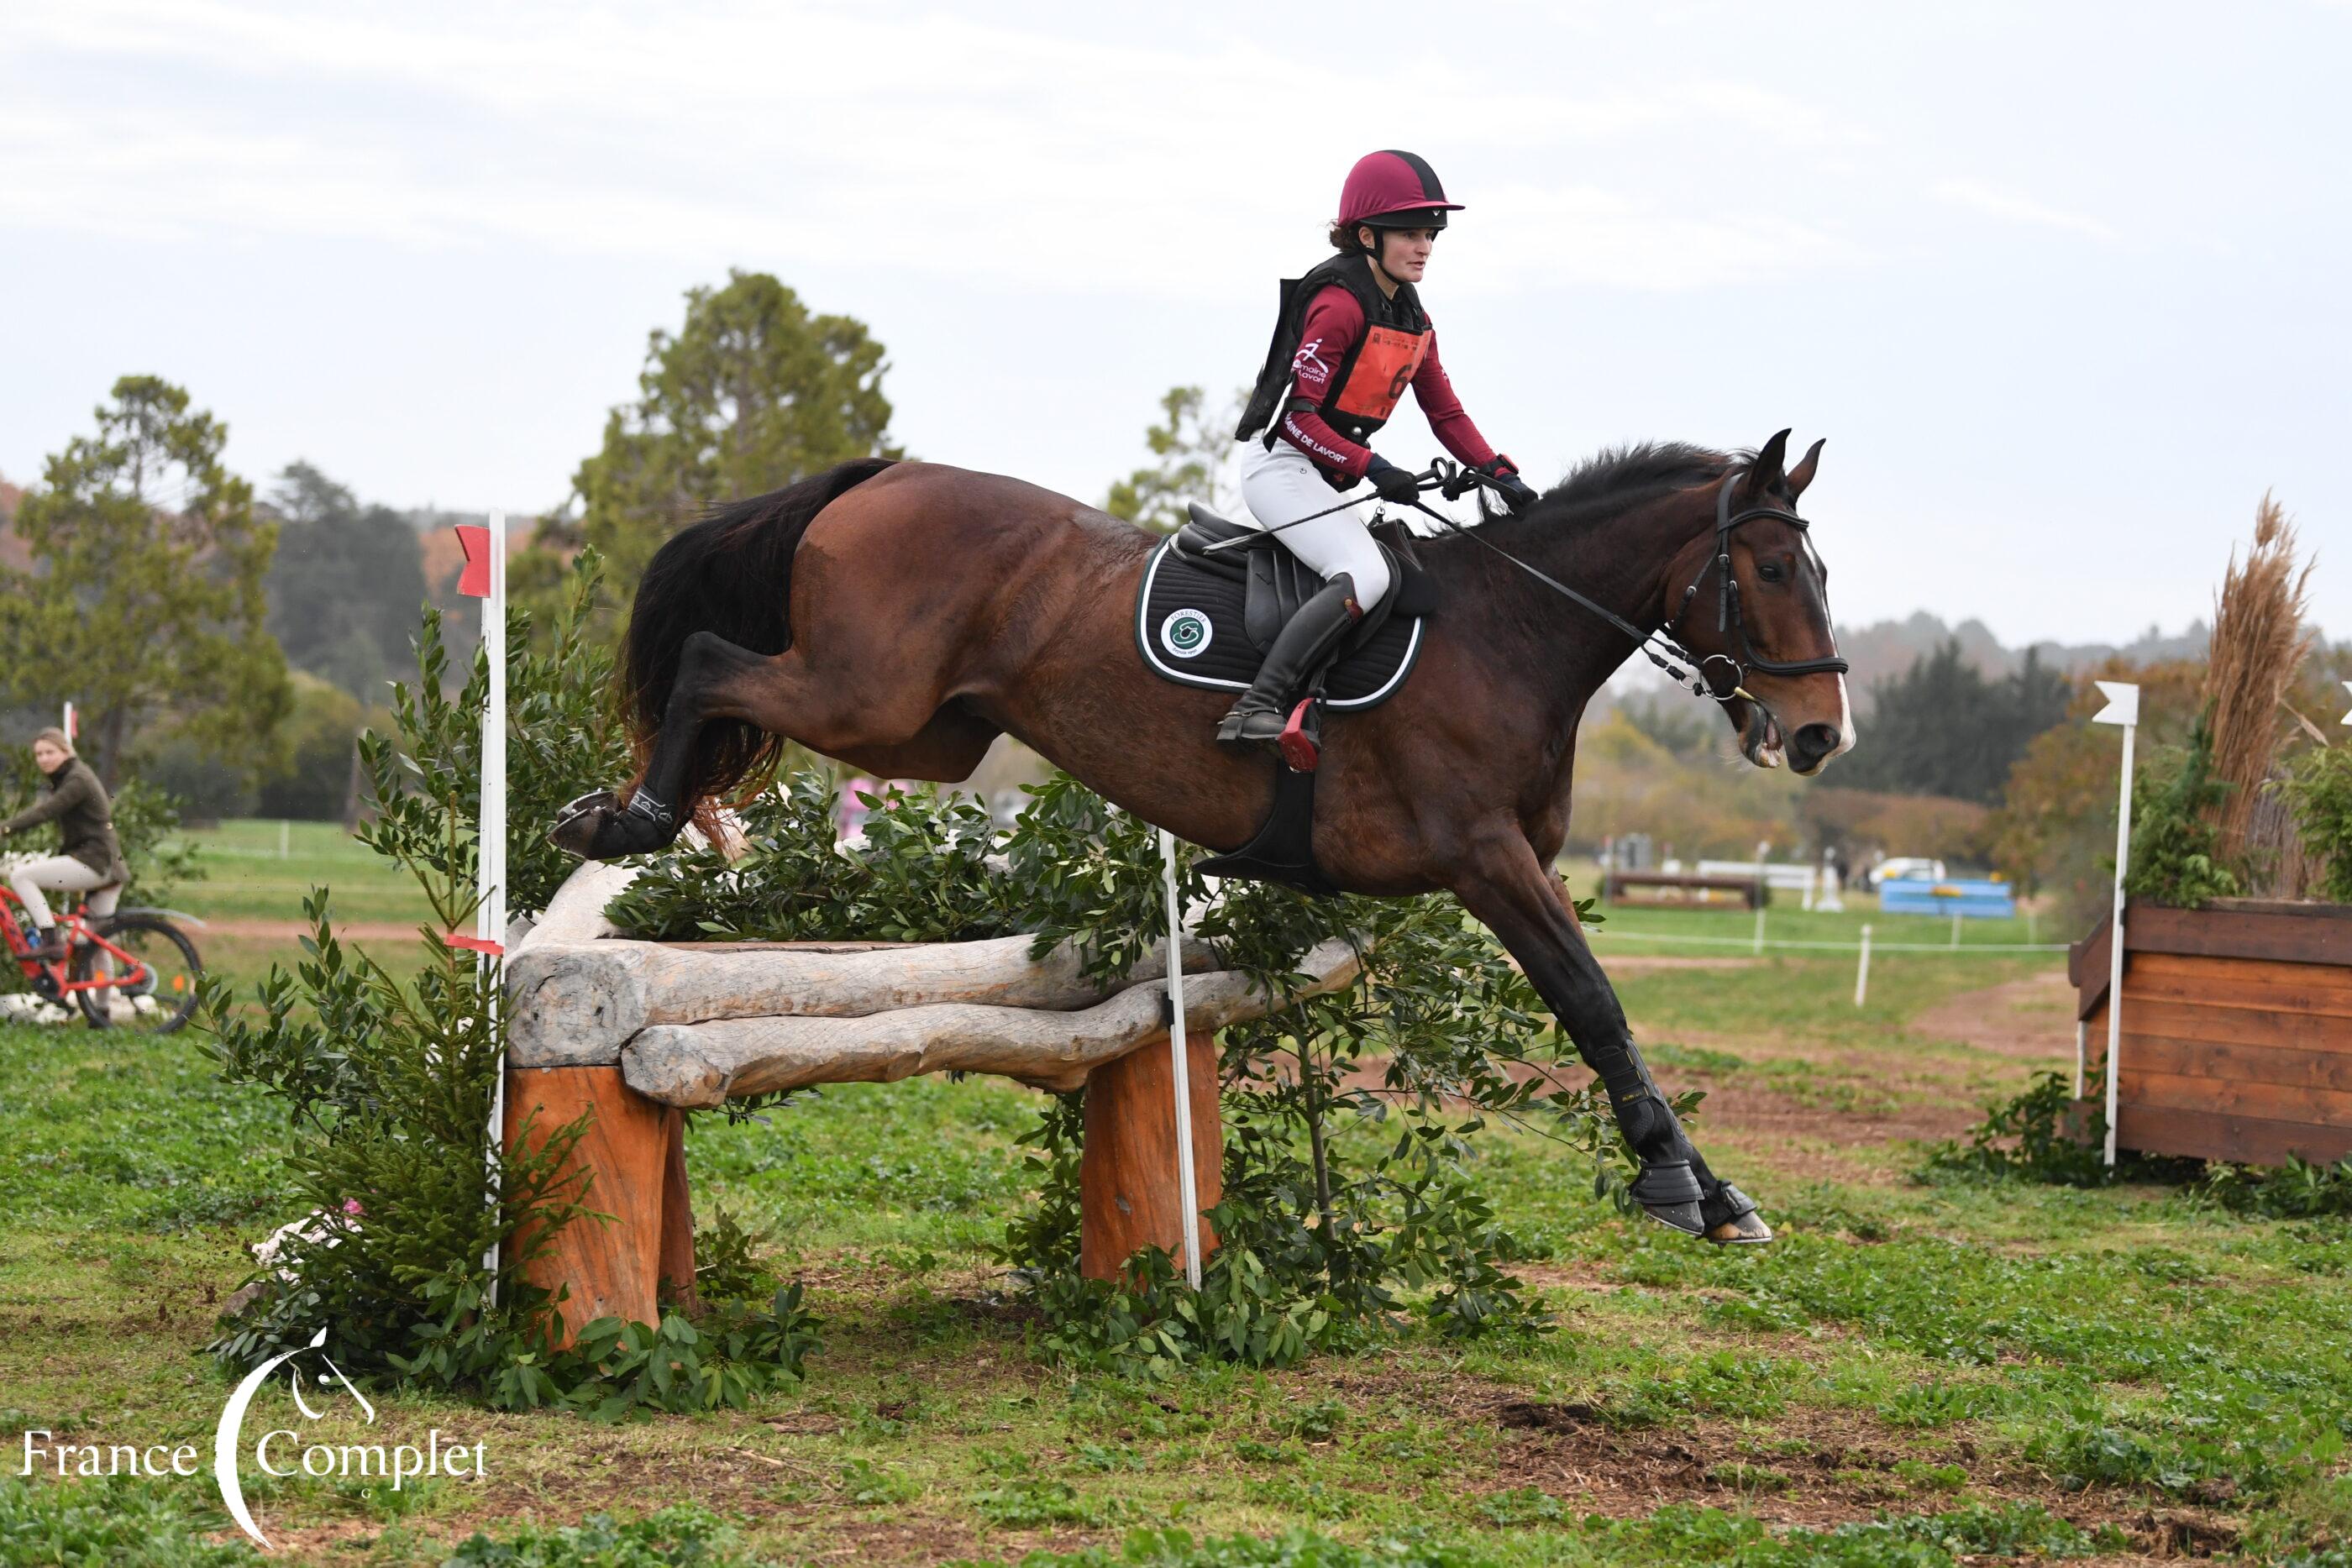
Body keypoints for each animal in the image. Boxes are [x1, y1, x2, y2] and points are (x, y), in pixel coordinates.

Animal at [551, 428, 1855, 1244]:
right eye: (1769, 567)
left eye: (1820, 569)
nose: (1818, 736)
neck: (1513, 632)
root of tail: (882, 478)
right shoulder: (1485, 859)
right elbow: (1591, 999)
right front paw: (1674, 1180)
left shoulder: (1513, 862)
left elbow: (1600, 1006)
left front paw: (1717, 1190)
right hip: (860, 696)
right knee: (708, 662)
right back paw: (628, 818)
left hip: (928, 733)